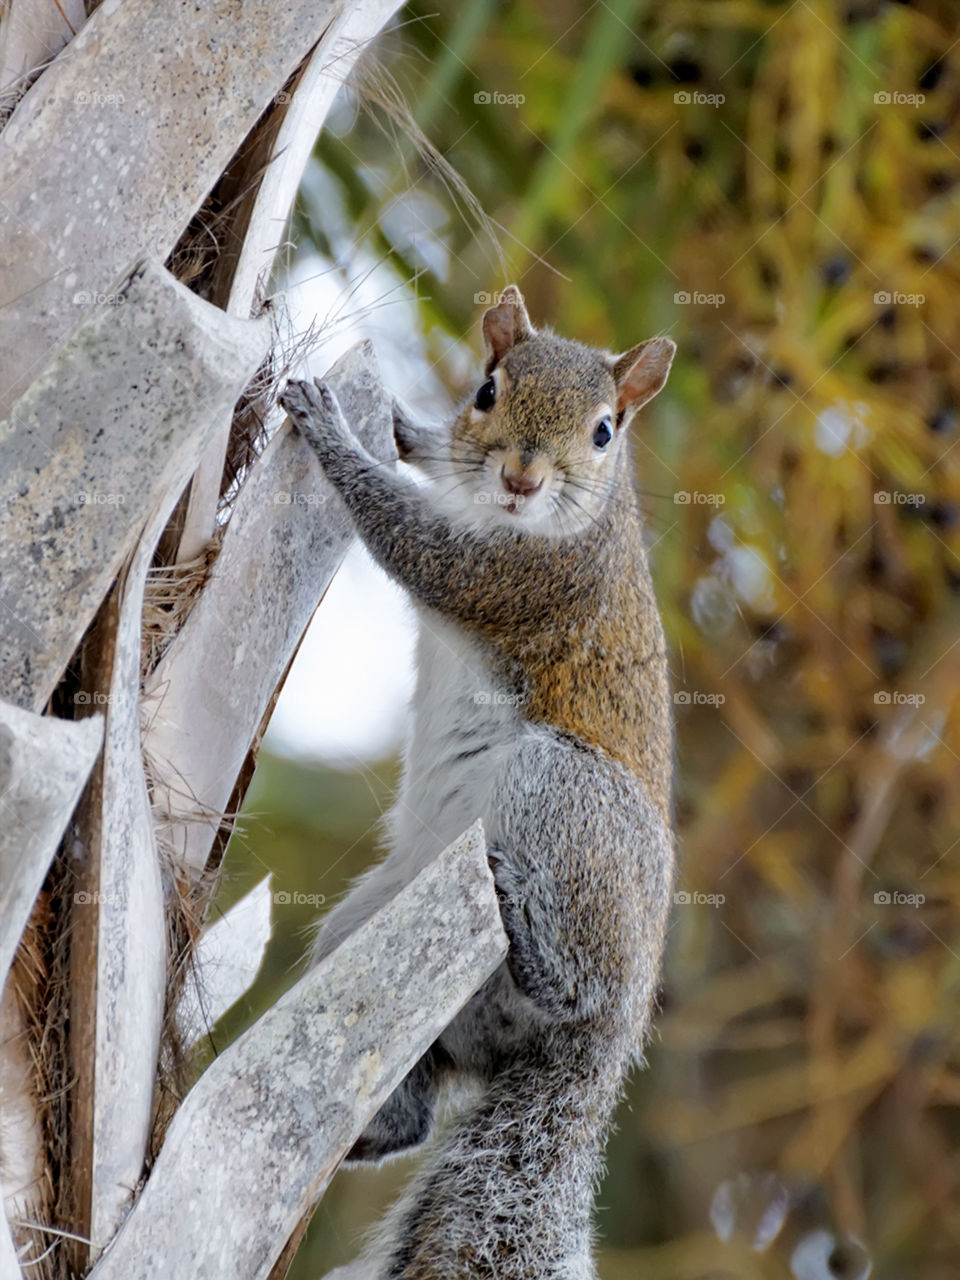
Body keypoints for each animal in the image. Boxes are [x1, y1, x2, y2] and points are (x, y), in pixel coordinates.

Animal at [281, 288, 680, 1280]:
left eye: (606, 431)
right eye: (487, 390)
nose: (523, 479)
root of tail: (607, 1050)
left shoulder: (522, 578)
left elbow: (408, 538)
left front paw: (330, 428)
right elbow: (428, 461)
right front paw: (397, 423)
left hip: (564, 796)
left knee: (573, 988)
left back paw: (537, 947)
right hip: (376, 929)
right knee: (412, 1111)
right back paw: (335, 1134)